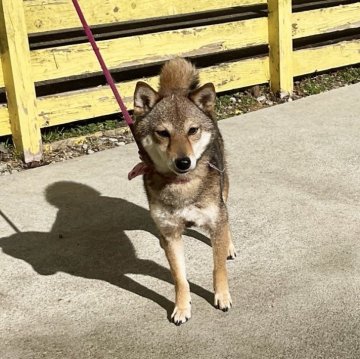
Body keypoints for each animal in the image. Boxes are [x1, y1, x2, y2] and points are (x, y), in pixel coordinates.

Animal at [132, 57, 236, 326]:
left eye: (192, 130)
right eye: (162, 133)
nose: (183, 162)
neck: (183, 185)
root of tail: (177, 90)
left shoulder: (215, 217)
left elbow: (218, 267)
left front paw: (222, 296)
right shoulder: (171, 233)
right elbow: (179, 278)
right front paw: (181, 307)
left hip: (224, 190)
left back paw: (229, 245)